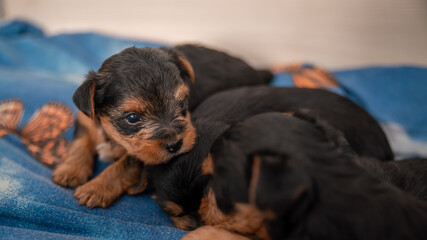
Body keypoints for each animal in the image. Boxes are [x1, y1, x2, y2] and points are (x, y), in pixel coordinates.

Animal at [50, 43, 270, 208]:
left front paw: (95, 189)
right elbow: (81, 142)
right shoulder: (86, 119)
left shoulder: (142, 156)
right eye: (132, 118)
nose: (175, 145)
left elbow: (122, 166)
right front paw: (70, 170)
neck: (111, 134)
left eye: (182, 103)